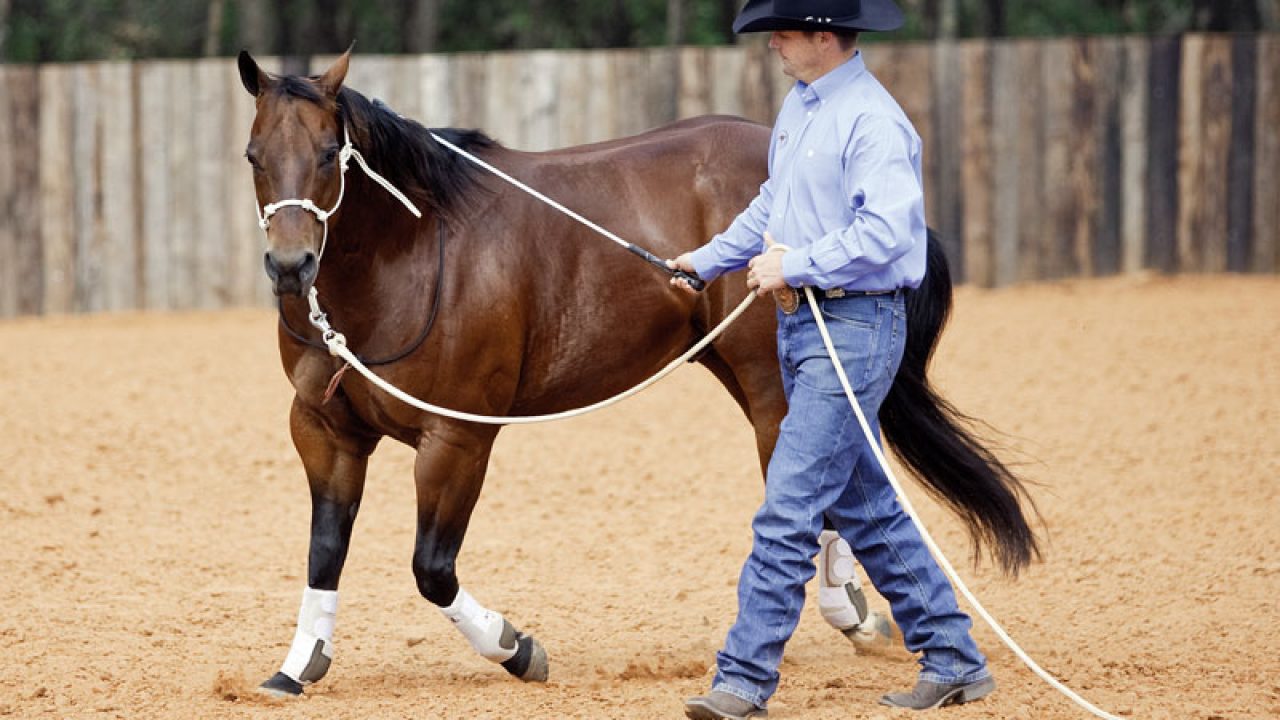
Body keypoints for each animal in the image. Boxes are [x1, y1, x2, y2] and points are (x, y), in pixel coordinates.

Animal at [237, 49, 1039, 697]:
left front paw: (517, 648)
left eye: (328, 152)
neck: (411, 256)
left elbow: (432, 569)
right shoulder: (325, 432)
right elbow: (326, 550)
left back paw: (850, 605)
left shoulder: (456, 439)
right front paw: (298, 665)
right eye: (252, 154)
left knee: (825, 475)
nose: (290, 266)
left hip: (771, 384)